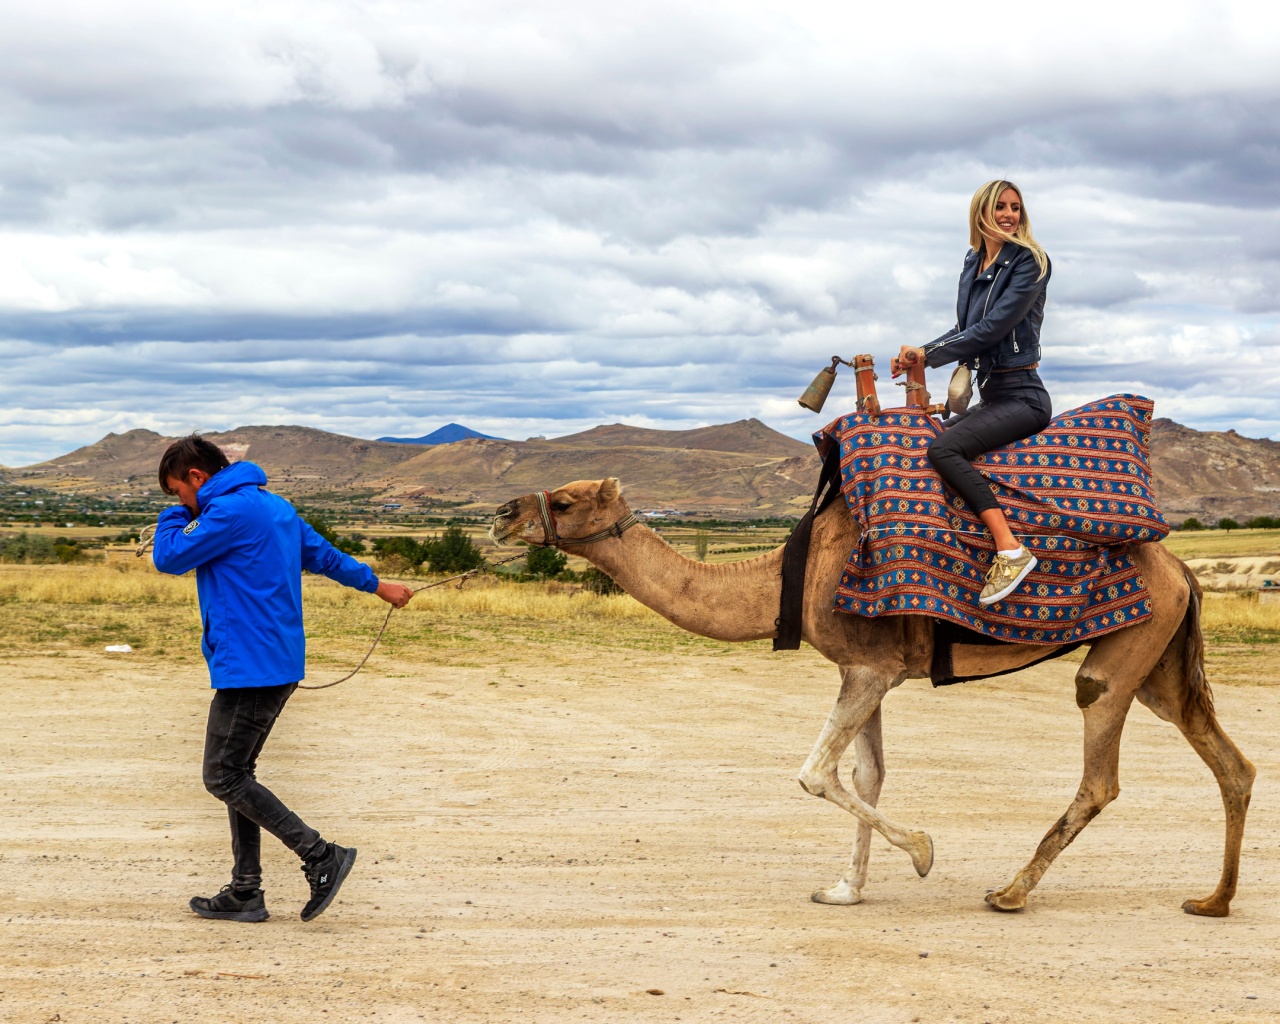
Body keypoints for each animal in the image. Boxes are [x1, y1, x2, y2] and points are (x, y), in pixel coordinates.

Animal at [490, 477, 1256, 915]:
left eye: (564, 500)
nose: (500, 514)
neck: (789, 578)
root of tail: (1183, 567)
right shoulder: (867, 669)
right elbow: (865, 773)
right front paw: (847, 888)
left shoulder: (868, 667)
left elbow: (814, 772)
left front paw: (921, 852)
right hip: (1160, 663)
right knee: (1232, 764)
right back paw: (1213, 901)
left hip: (1124, 656)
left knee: (1101, 771)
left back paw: (1009, 892)